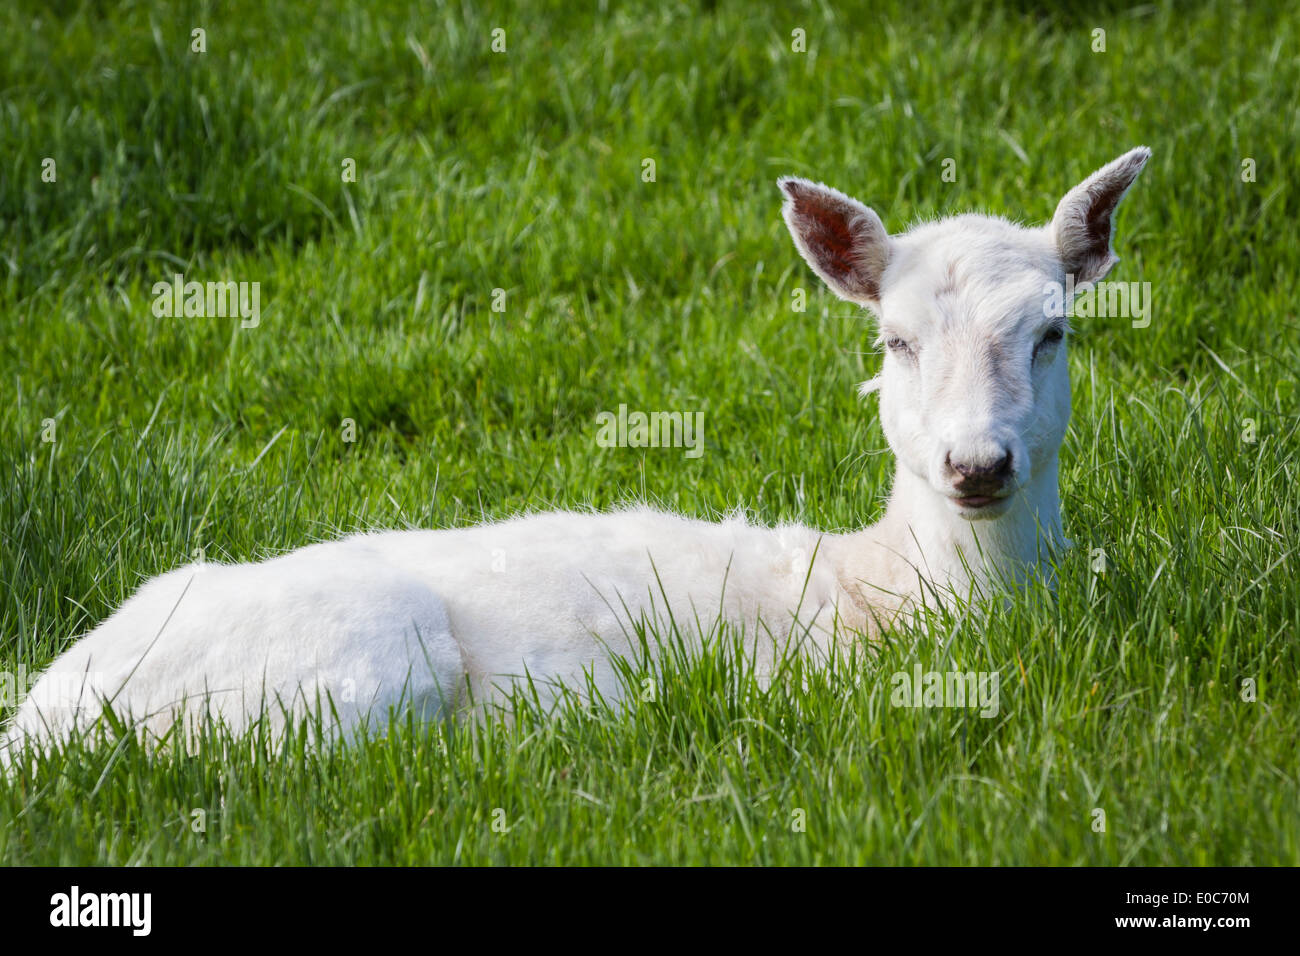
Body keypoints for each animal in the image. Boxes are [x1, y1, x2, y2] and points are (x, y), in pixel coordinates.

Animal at [0, 145, 1149, 759]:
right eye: (894, 342)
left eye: (1053, 331)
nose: (975, 465)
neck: (887, 594)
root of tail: (38, 729)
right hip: (355, 664)